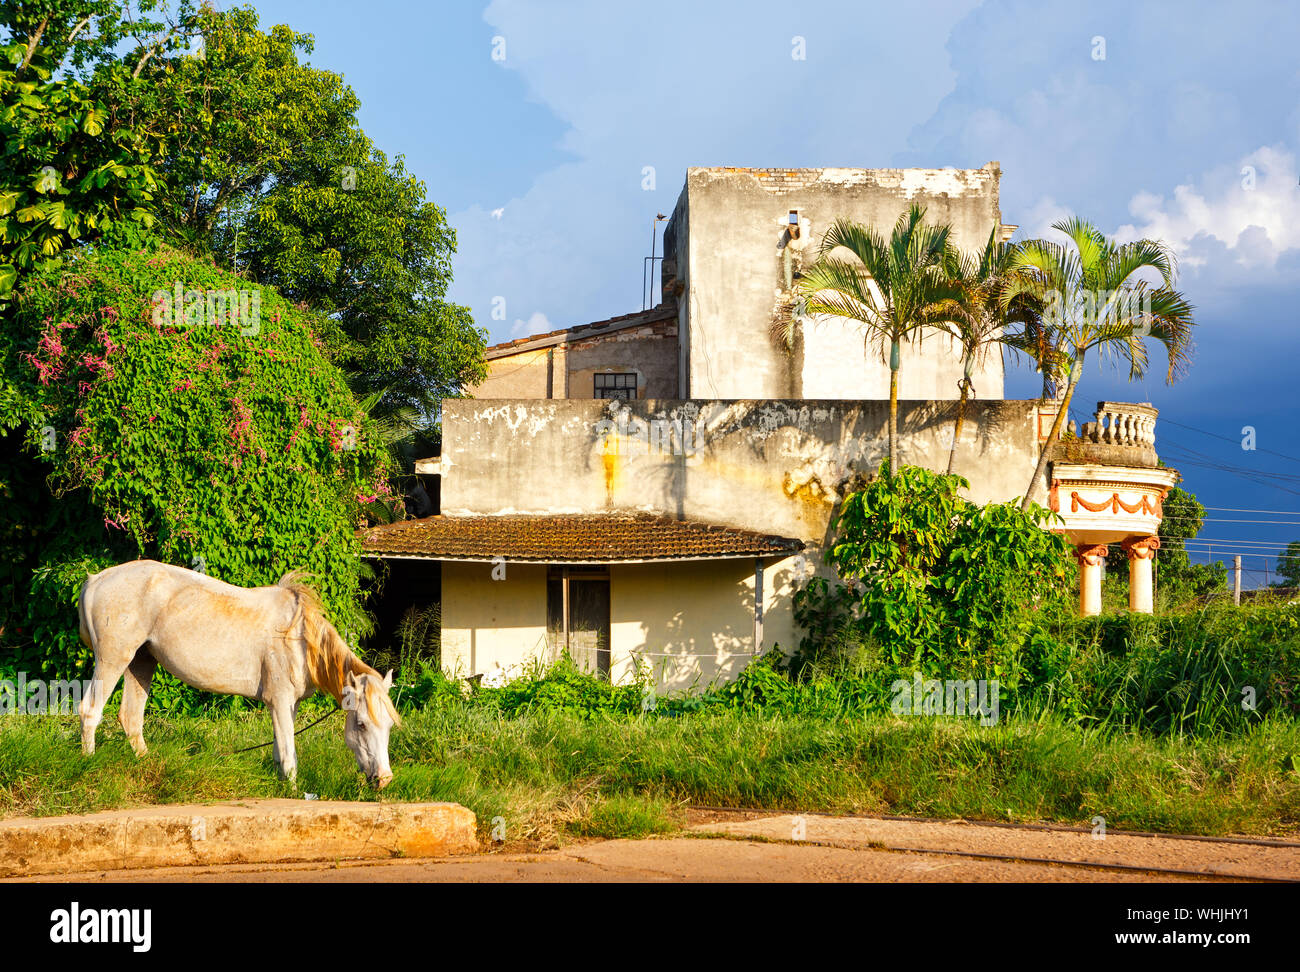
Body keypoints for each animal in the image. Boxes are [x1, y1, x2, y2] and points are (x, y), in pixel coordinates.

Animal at [76, 566, 397, 784]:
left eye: (390, 726)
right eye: (361, 723)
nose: (384, 778)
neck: (299, 638)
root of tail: (96, 580)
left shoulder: (287, 705)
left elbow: (281, 748)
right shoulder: (279, 700)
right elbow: (289, 754)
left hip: (141, 662)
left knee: (131, 717)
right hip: (113, 659)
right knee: (90, 710)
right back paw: (88, 763)